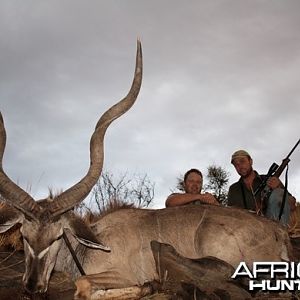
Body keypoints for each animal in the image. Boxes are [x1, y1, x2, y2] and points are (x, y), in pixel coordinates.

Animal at [0, 40, 296, 300]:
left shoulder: (121, 273)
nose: (32, 287)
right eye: (24, 236)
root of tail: (278, 232)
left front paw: (149, 285)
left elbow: (83, 286)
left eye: (57, 236)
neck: (91, 244)